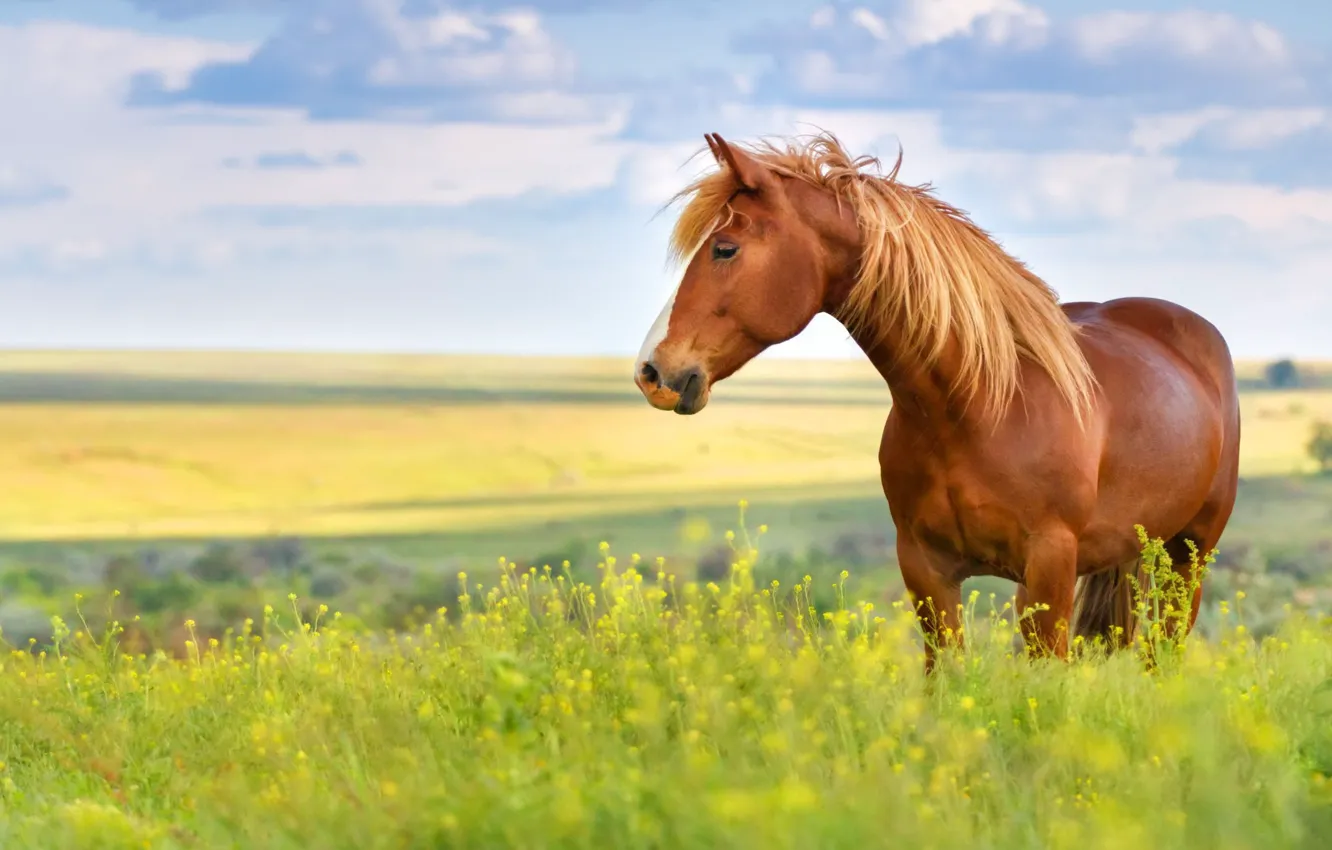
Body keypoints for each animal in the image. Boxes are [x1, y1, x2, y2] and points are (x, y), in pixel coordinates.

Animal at [632, 131, 1241, 670]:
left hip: (1189, 557)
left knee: (1165, 653)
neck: (977, 410)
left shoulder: (1049, 571)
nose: (652, 372)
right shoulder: (927, 572)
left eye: (725, 248)